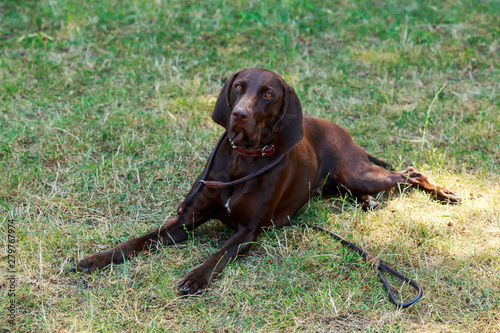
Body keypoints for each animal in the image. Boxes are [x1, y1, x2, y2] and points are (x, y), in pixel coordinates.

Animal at [72, 67, 458, 294]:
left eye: (268, 93)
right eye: (239, 87)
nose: (239, 115)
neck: (243, 159)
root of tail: (343, 132)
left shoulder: (248, 233)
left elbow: (218, 255)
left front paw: (196, 277)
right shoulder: (183, 221)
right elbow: (135, 242)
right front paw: (95, 259)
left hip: (357, 173)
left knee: (409, 173)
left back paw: (444, 193)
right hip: (348, 181)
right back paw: (368, 203)